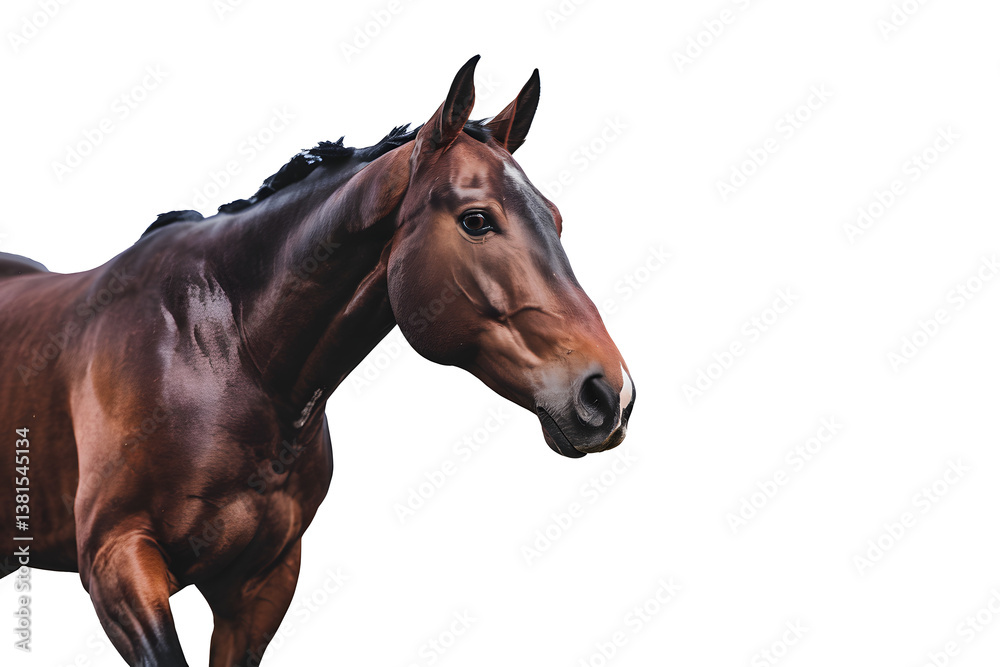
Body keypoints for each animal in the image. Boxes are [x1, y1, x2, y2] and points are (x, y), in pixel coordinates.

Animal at [0, 56, 635, 666]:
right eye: (476, 219)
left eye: (555, 218)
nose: (610, 394)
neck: (218, 355)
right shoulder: (118, 561)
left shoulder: (262, 583)